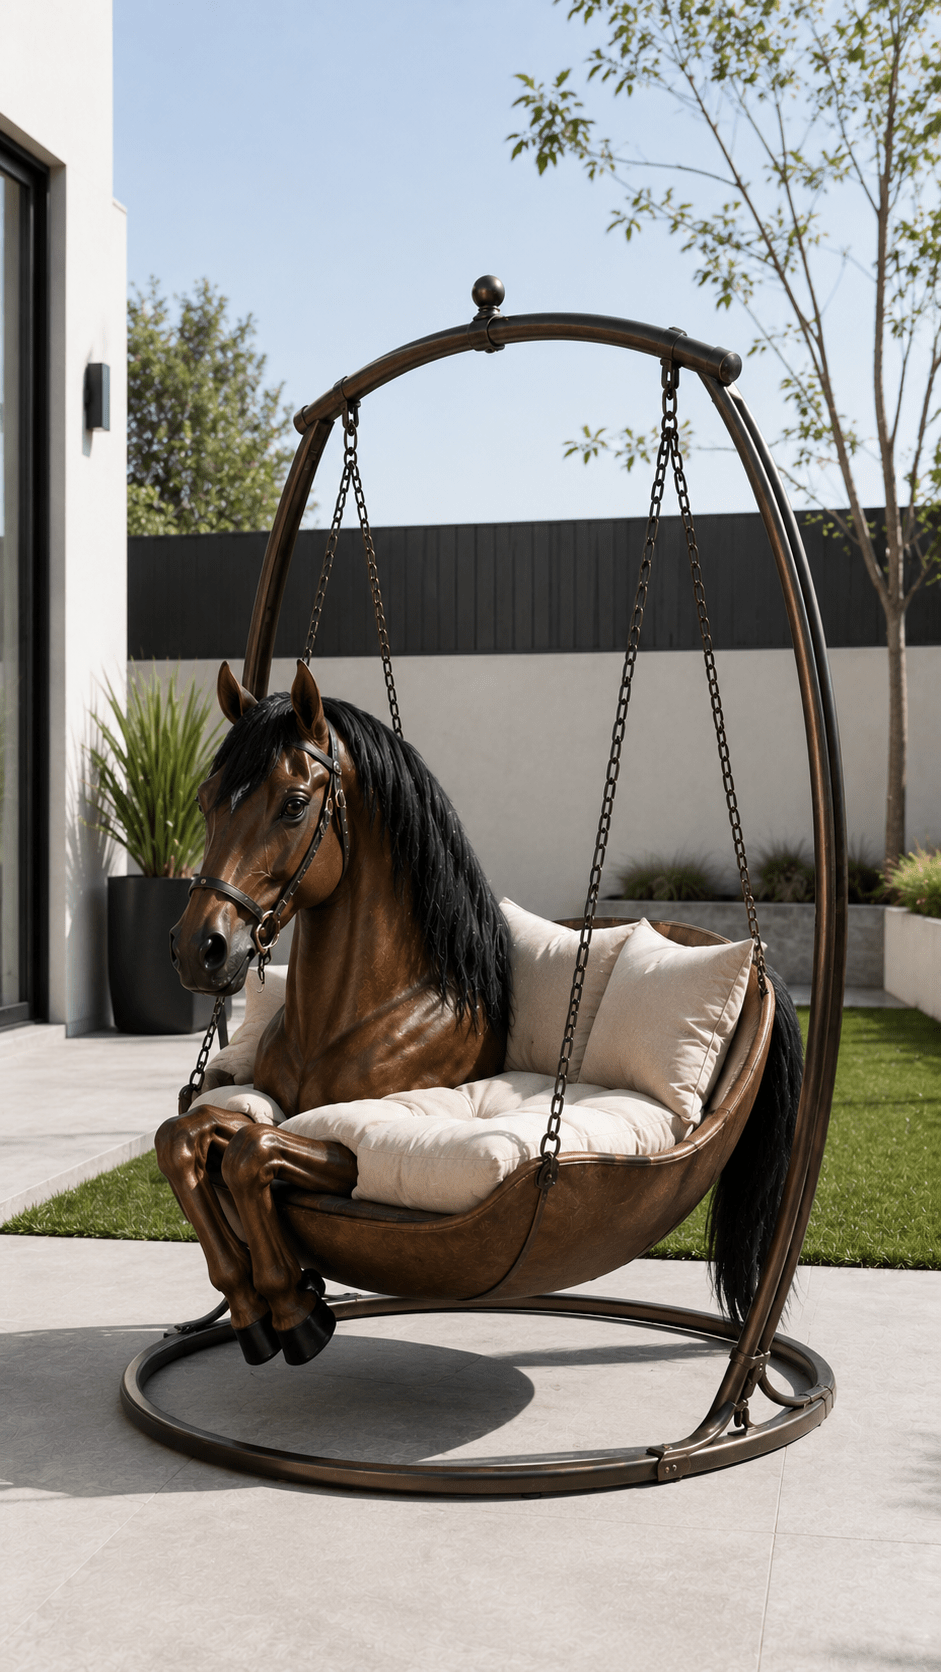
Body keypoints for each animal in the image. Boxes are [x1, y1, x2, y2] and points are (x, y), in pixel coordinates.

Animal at [156, 659, 510, 1367]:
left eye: (294, 804)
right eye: (206, 799)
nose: (200, 948)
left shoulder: (359, 1144)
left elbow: (250, 1153)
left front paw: (294, 1309)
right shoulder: (267, 1108)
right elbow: (182, 1136)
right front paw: (256, 1308)